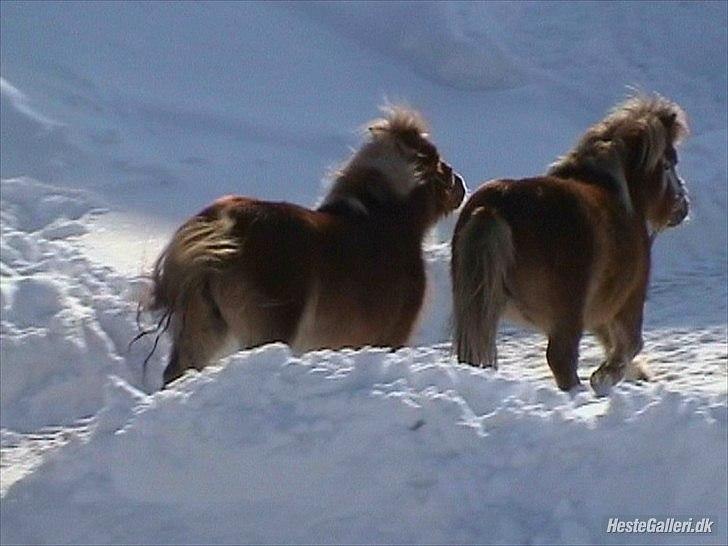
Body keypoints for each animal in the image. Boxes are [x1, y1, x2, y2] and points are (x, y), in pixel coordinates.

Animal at [148, 106, 466, 384]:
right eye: (437, 162)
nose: (461, 185)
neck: (387, 219)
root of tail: (221, 222)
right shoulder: (391, 339)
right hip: (266, 332)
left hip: (207, 328)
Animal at [452, 93, 692, 392]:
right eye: (669, 162)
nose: (683, 206)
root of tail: (493, 208)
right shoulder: (627, 300)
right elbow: (630, 344)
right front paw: (605, 377)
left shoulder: (599, 311)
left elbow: (613, 342)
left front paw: (635, 373)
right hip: (566, 316)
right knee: (562, 359)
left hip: (482, 307)